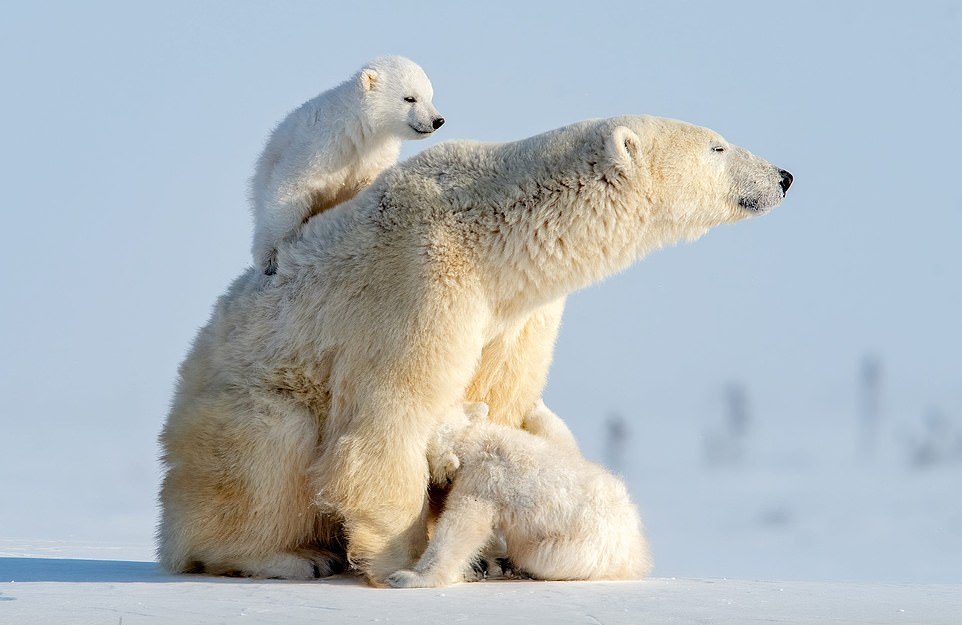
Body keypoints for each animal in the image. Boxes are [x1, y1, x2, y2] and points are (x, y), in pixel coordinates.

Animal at [248, 56, 442, 272]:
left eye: (430, 96)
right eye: (410, 98)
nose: (437, 121)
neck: (357, 127)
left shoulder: (374, 155)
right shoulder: (320, 145)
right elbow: (291, 187)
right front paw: (270, 257)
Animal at [386, 400, 648, 584]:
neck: (473, 441)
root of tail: (636, 553)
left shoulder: (483, 481)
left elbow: (462, 527)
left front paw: (408, 577)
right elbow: (564, 443)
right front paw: (537, 406)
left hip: (578, 549)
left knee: (538, 556)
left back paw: (511, 564)